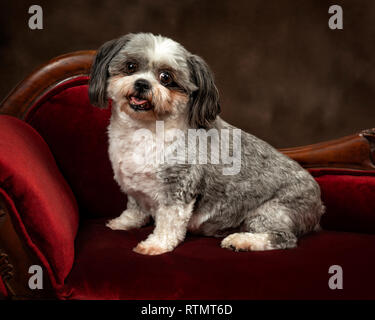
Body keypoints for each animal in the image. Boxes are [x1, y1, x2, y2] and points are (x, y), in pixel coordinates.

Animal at [89, 32, 326, 256]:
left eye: (166, 77)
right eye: (131, 66)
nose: (142, 83)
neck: (146, 130)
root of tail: (319, 205)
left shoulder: (178, 188)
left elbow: (169, 222)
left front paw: (156, 245)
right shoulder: (135, 188)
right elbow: (134, 208)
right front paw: (123, 222)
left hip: (271, 211)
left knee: (284, 238)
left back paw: (241, 241)